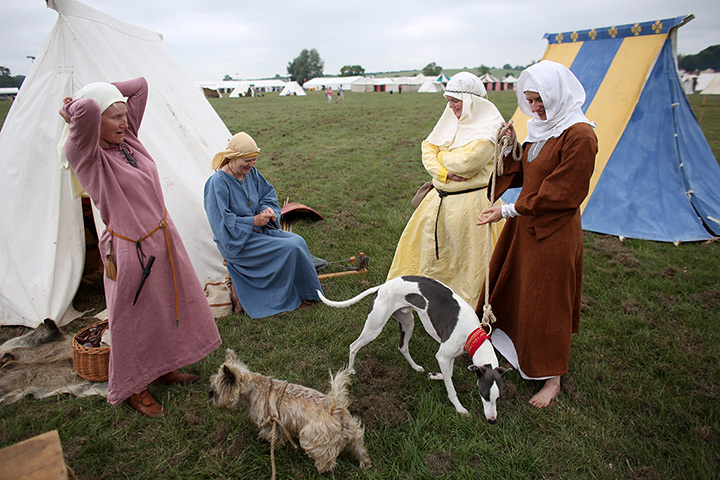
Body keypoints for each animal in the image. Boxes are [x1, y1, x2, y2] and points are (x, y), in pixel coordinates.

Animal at [208, 348, 372, 472]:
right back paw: (365, 464)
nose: (209, 396)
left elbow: (270, 433)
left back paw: (322, 470)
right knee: (360, 449)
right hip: (354, 433)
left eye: (215, 389)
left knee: (327, 460)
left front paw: (268, 440)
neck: (254, 387)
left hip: (311, 438)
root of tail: (335, 407)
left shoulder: (270, 422)